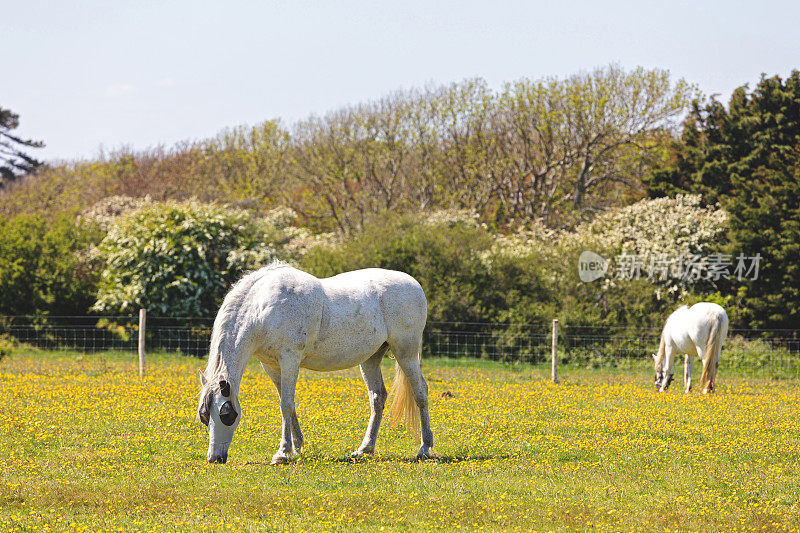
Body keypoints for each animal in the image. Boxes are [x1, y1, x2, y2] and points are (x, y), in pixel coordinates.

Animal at [195, 262, 432, 462]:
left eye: (226, 414)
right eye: (204, 416)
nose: (214, 458)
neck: (262, 309)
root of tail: (414, 284)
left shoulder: (290, 359)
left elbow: (285, 404)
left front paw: (282, 453)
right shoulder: (271, 366)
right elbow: (287, 405)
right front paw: (297, 446)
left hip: (406, 352)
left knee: (420, 392)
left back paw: (424, 448)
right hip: (371, 358)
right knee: (377, 398)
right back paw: (365, 449)